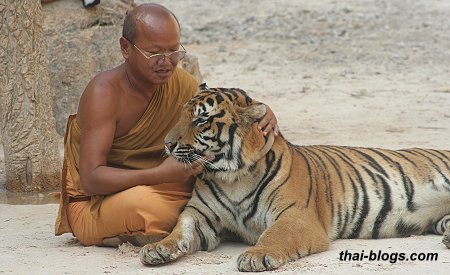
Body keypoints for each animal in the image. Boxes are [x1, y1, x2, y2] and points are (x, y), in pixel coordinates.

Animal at [140, 85, 450, 272]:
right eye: (181, 114)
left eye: (201, 120)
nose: (167, 144)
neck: (231, 177)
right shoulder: (199, 214)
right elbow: (180, 230)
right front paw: (157, 248)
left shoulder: (296, 215)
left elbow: (275, 234)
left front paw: (255, 255)